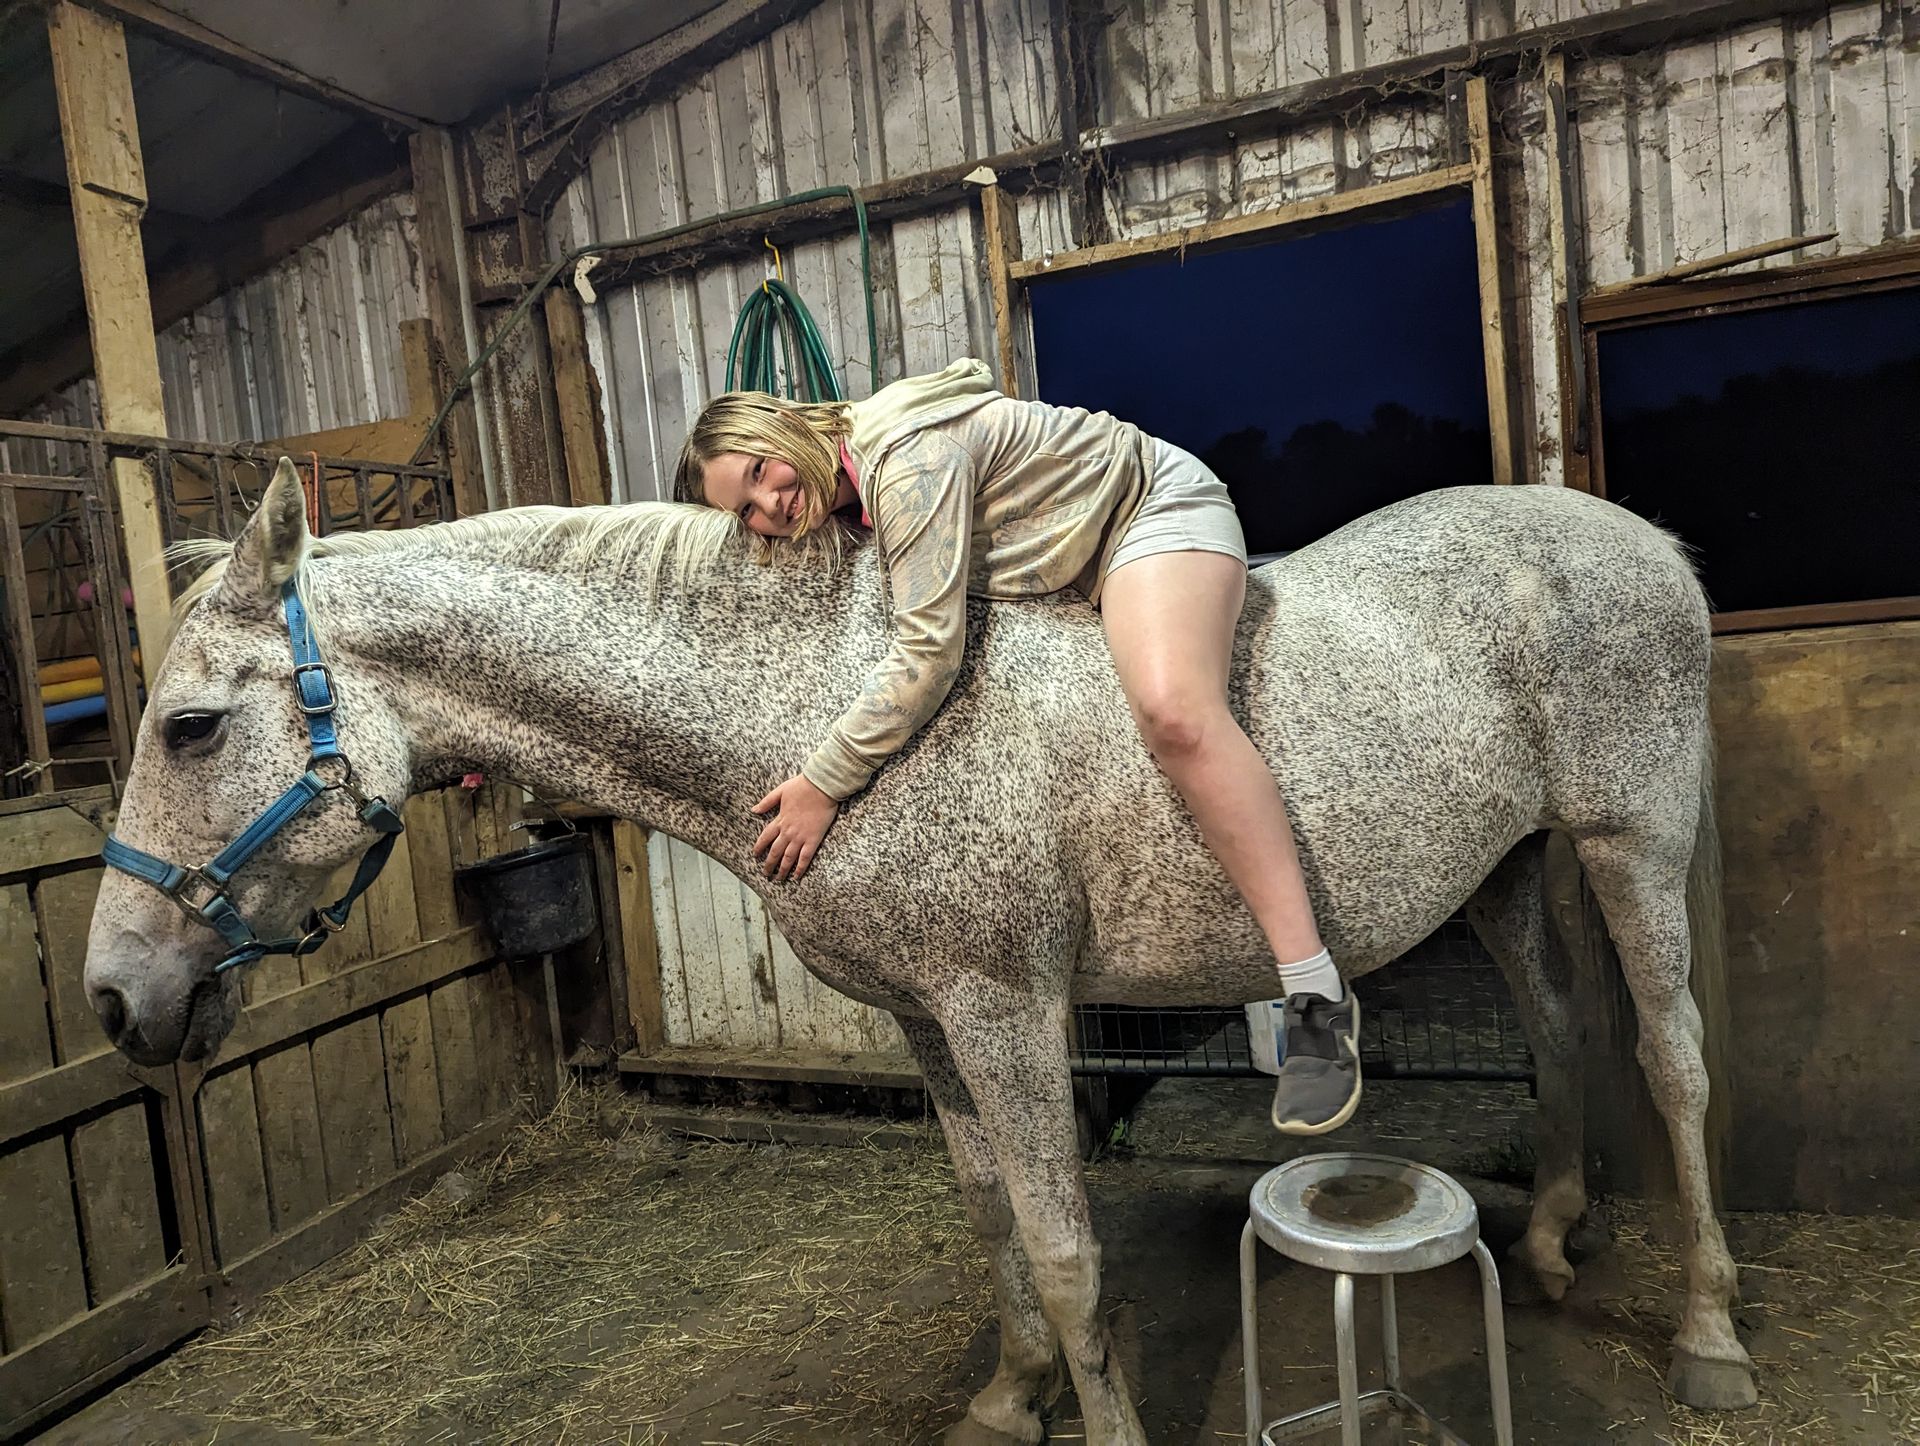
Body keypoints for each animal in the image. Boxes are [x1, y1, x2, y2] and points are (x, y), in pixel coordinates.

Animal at [84, 460, 1753, 1443]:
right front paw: (1012, 1396)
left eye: (192, 724)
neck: (831, 704)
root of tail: (1645, 538)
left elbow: (1070, 1246)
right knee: (1562, 1032)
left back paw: (1712, 1335)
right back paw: (1552, 1239)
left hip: (1630, 845)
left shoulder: (1007, 1007)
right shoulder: (927, 1023)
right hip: (1509, 871)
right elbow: (989, 1213)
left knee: (1674, 1061)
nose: (115, 996)